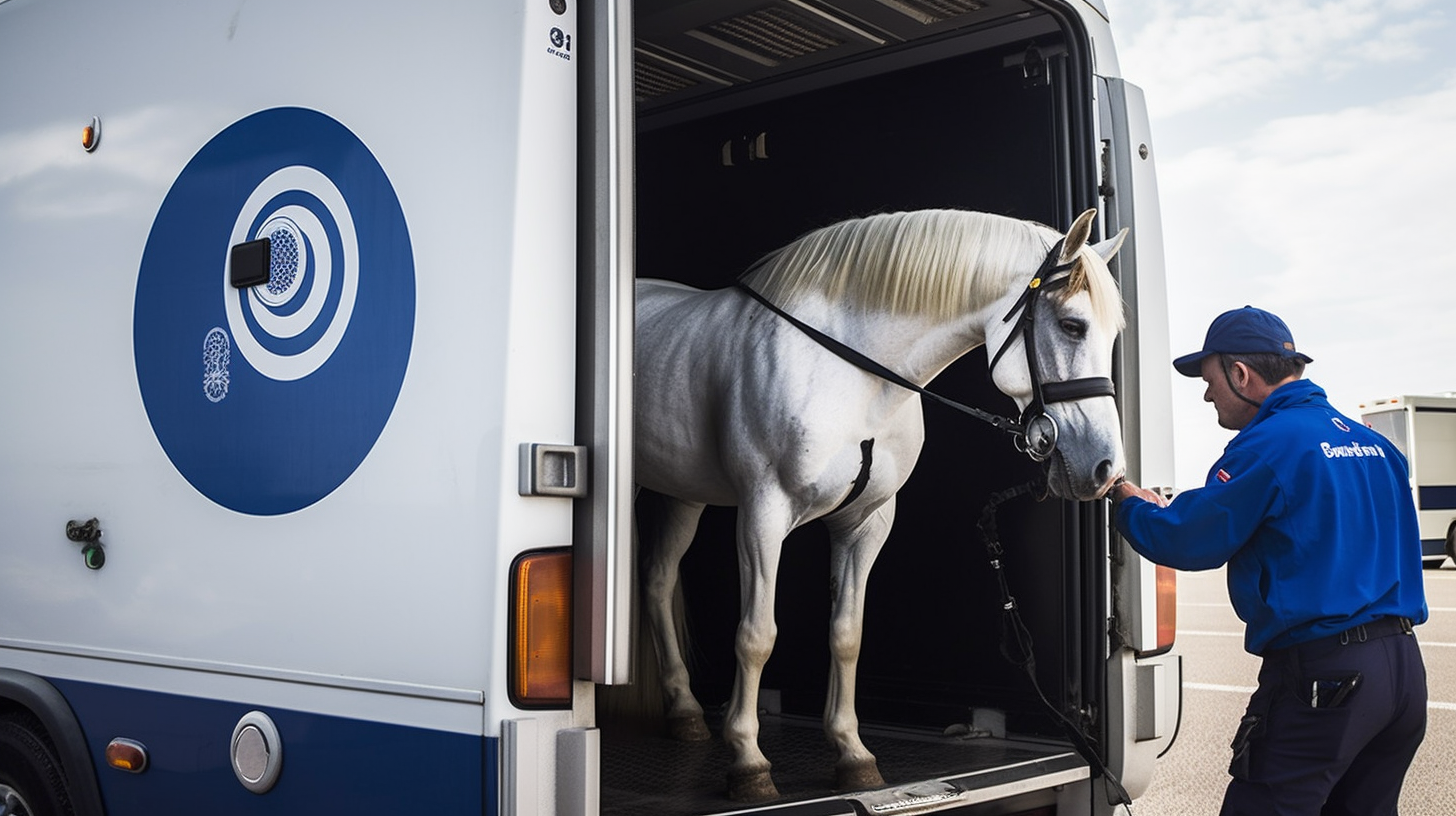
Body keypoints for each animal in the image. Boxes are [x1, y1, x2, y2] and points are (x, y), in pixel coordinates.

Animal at [634, 206, 1124, 798]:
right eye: (1073, 326)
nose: (1106, 469)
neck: (852, 377)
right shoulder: (762, 514)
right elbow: (756, 636)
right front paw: (749, 763)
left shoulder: (865, 523)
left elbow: (848, 634)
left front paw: (853, 754)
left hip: (683, 495)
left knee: (658, 579)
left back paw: (684, 710)